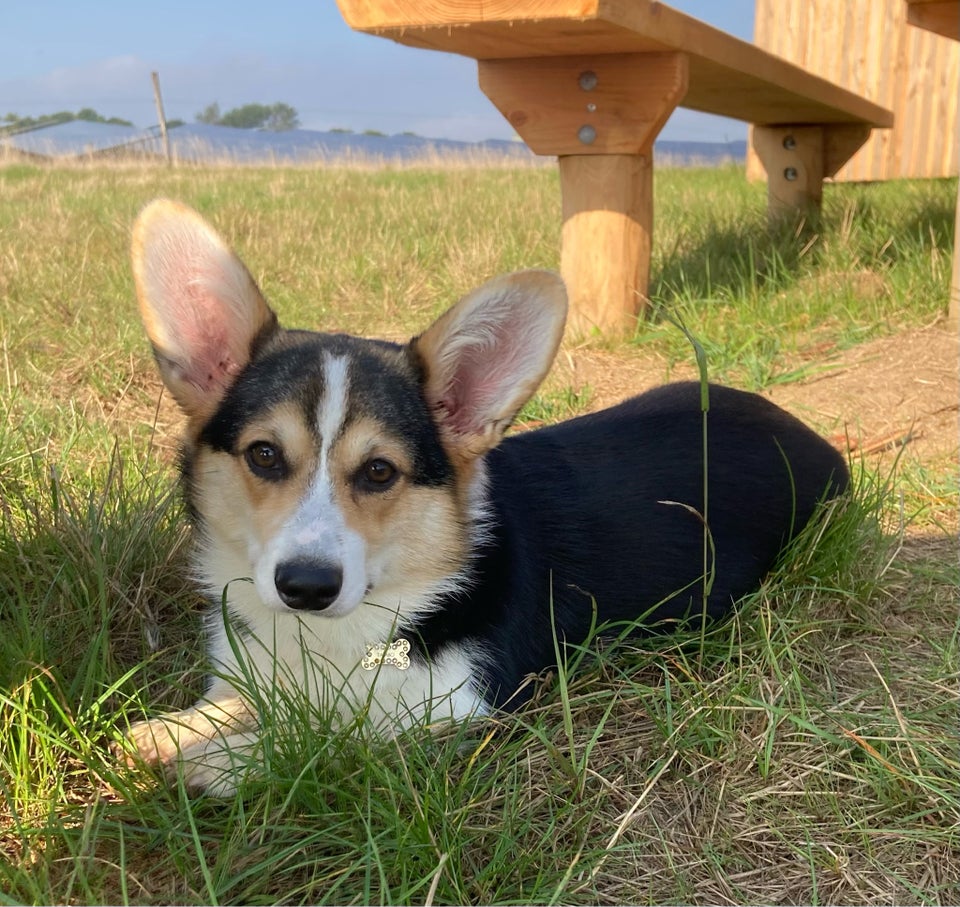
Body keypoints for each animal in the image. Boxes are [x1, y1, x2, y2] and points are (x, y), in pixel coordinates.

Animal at [125, 200, 848, 796]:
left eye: (380, 471)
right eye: (264, 455)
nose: (307, 586)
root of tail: (804, 431)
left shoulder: (453, 711)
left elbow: (328, 738)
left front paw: (221, 761)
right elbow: (229, 701)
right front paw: (166, 730)